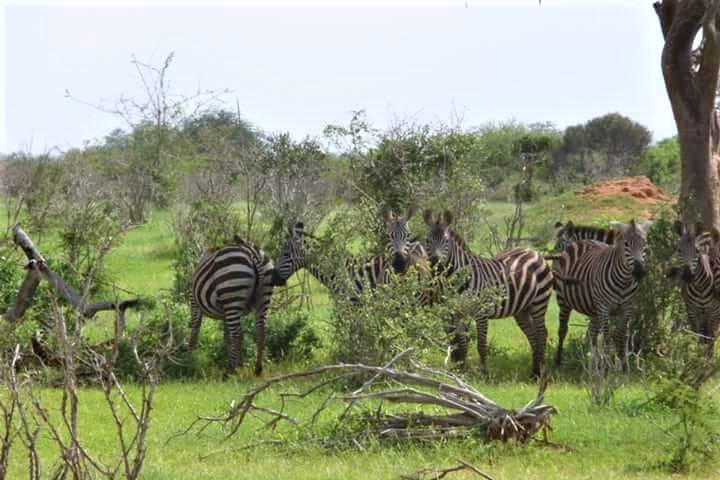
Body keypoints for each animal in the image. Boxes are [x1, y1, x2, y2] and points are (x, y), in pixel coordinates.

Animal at [188, 238, 276, 376]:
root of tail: (252, 253)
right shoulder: (225, 313)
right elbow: (226, 337)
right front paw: (238, 363)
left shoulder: (194, 303)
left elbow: (194, 331)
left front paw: (188, 361)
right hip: (262, 296)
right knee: (260, 331)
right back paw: (257, 369)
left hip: (232, 295)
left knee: (237, 335)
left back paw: (228, 372)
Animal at [424, 208, 556, 376]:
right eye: (427, 241)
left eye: (446, 241)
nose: (437, 265)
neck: (458, 279)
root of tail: (534, 252)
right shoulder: (458, 312)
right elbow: (461, 343)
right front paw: (462, 371)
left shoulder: (481, 312)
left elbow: (481, 344)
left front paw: (484, 374)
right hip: (522, 309)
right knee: (532, 335)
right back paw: (534, 372)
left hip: (539, 302)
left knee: (541, 333)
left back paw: (540, 371)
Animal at [552, 219, 652, 366]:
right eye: (626, 244)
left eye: (644, 244)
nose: (640, 272)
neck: (623, 282)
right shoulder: (603, 308)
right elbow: (606, 336)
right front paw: (605, 364)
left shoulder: (625, 309)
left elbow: (619, 336)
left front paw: (620, 364)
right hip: (564, 301)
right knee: (563, 330)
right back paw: (559, 361)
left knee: (590, 332)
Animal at [668, 220, 720, 348]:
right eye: (679, 250)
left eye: (697, 251)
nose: (687, 275)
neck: (700, 287)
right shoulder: (692, 312)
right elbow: (697, 336)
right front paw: (695, 351)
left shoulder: (714, 313)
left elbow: (711, 340)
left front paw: (706, 354)